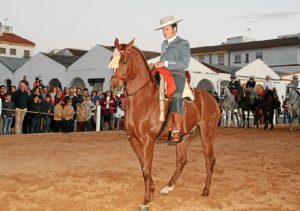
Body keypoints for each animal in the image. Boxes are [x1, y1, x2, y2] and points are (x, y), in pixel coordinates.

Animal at [109, 38, 219, 210]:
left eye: (124, 61)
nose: (114, 87)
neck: (144, 99)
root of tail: (212, 98)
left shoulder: (148, 140)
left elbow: (147, 169)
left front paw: (146, 200)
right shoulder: (134, 140)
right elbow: (144, 166)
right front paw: (152, 191)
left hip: (207, 135)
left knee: (210, 161)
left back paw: (206, 191)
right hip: (184, 138)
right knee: (181, 161)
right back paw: (168, 187)